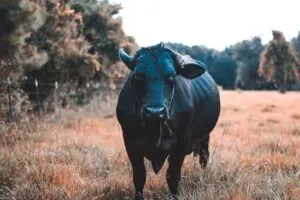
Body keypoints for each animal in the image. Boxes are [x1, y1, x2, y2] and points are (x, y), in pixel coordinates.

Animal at [115, 43, 220, 199]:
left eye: (171, 76)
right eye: (138, 76)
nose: (155, 111)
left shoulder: (182, 142)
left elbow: (173, 176)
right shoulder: (129, 140)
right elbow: (139, 176)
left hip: (205, 137)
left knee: (204, 157)